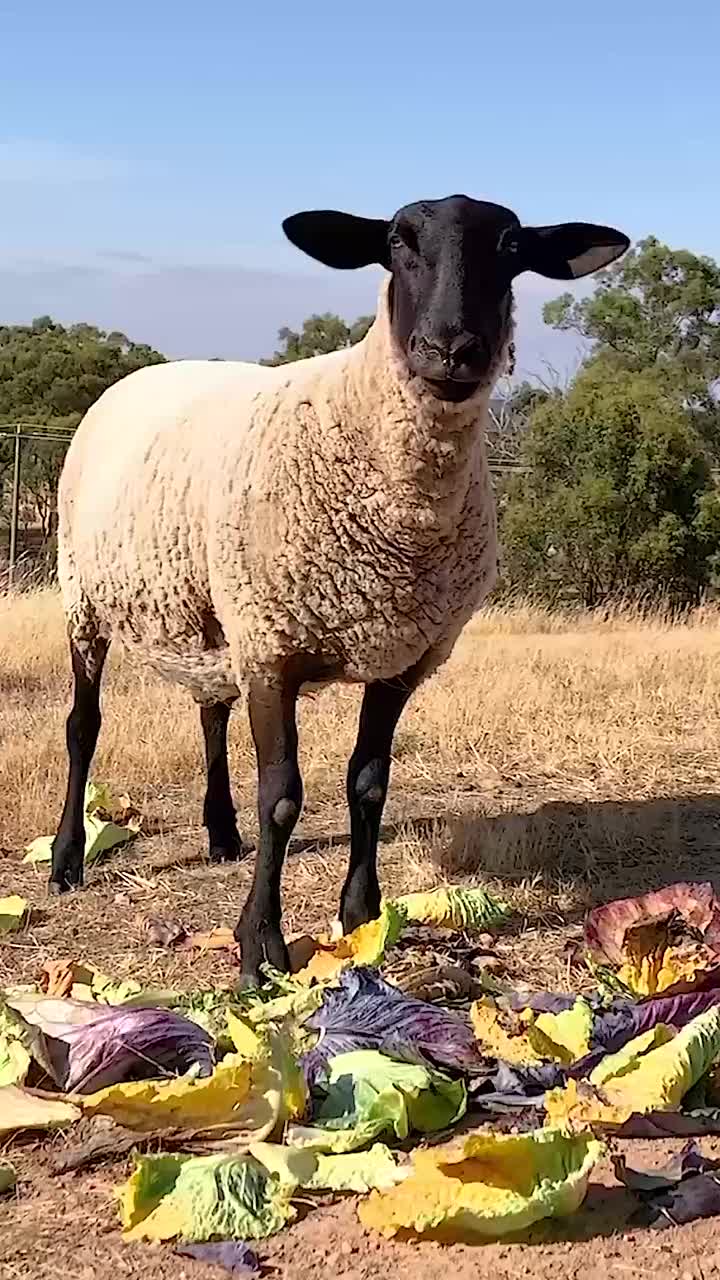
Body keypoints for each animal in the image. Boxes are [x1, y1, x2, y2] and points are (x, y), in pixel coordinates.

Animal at [50, 192, 625, 977]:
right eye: (396, 242)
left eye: (511, 247)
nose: (451, 350)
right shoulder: (273, 649)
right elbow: (282, 797)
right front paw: (258, 944)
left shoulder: (401, 657)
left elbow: (368, 783)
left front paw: (361, 915)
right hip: (84, 594)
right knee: (83, 727)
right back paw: (66, 861)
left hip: (209, 611)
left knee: (209, 713)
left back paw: (221, 834)